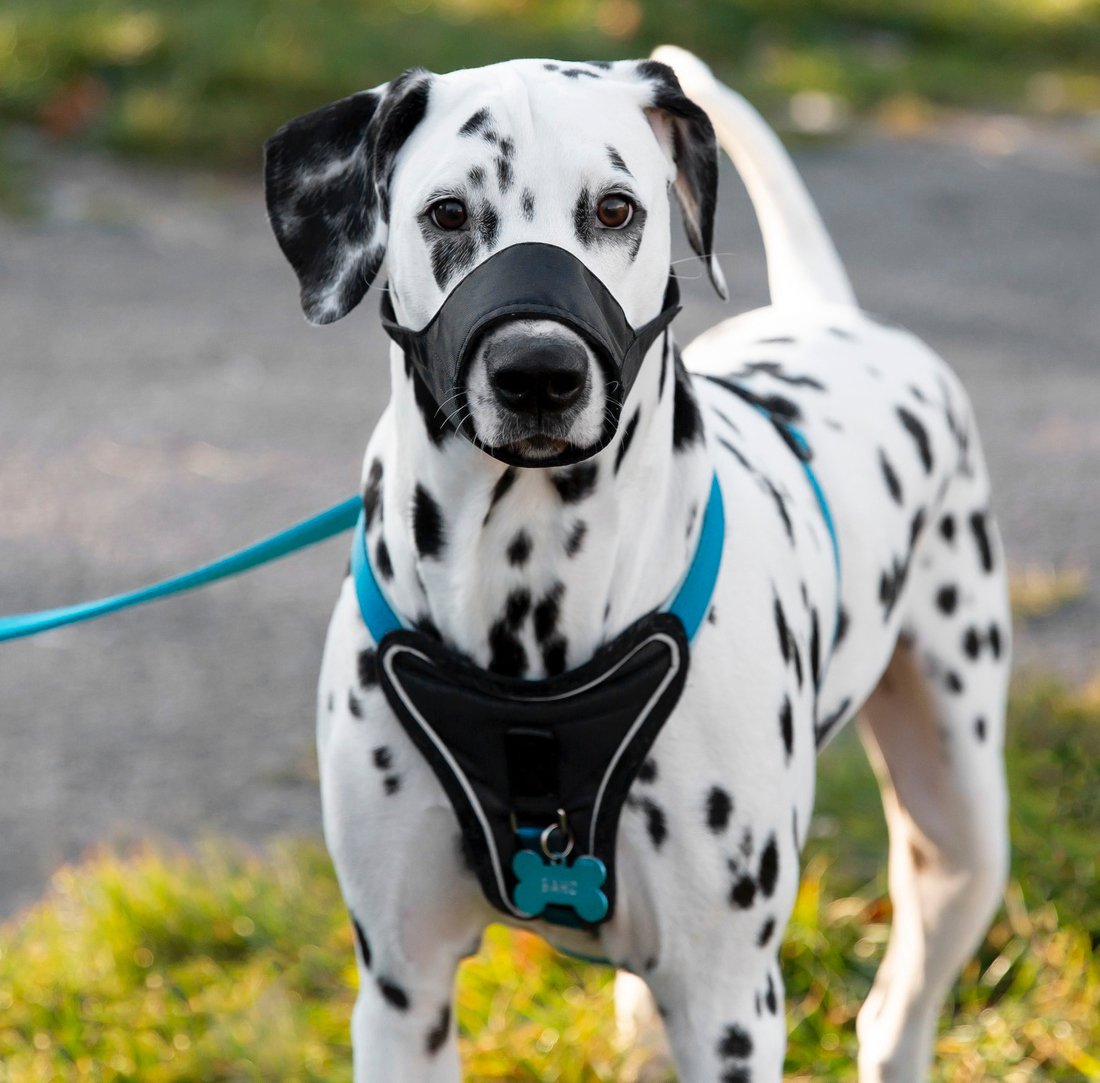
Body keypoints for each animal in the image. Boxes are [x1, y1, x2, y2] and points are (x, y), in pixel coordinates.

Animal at [264, 44, 1007, 1081]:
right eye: (447, 212)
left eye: (616, 209)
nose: (538, 371)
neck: (531, 601)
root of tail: (832, 314)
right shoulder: (402, 989)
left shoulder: (729, 1003)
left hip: (961, 827)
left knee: (896, 1009)